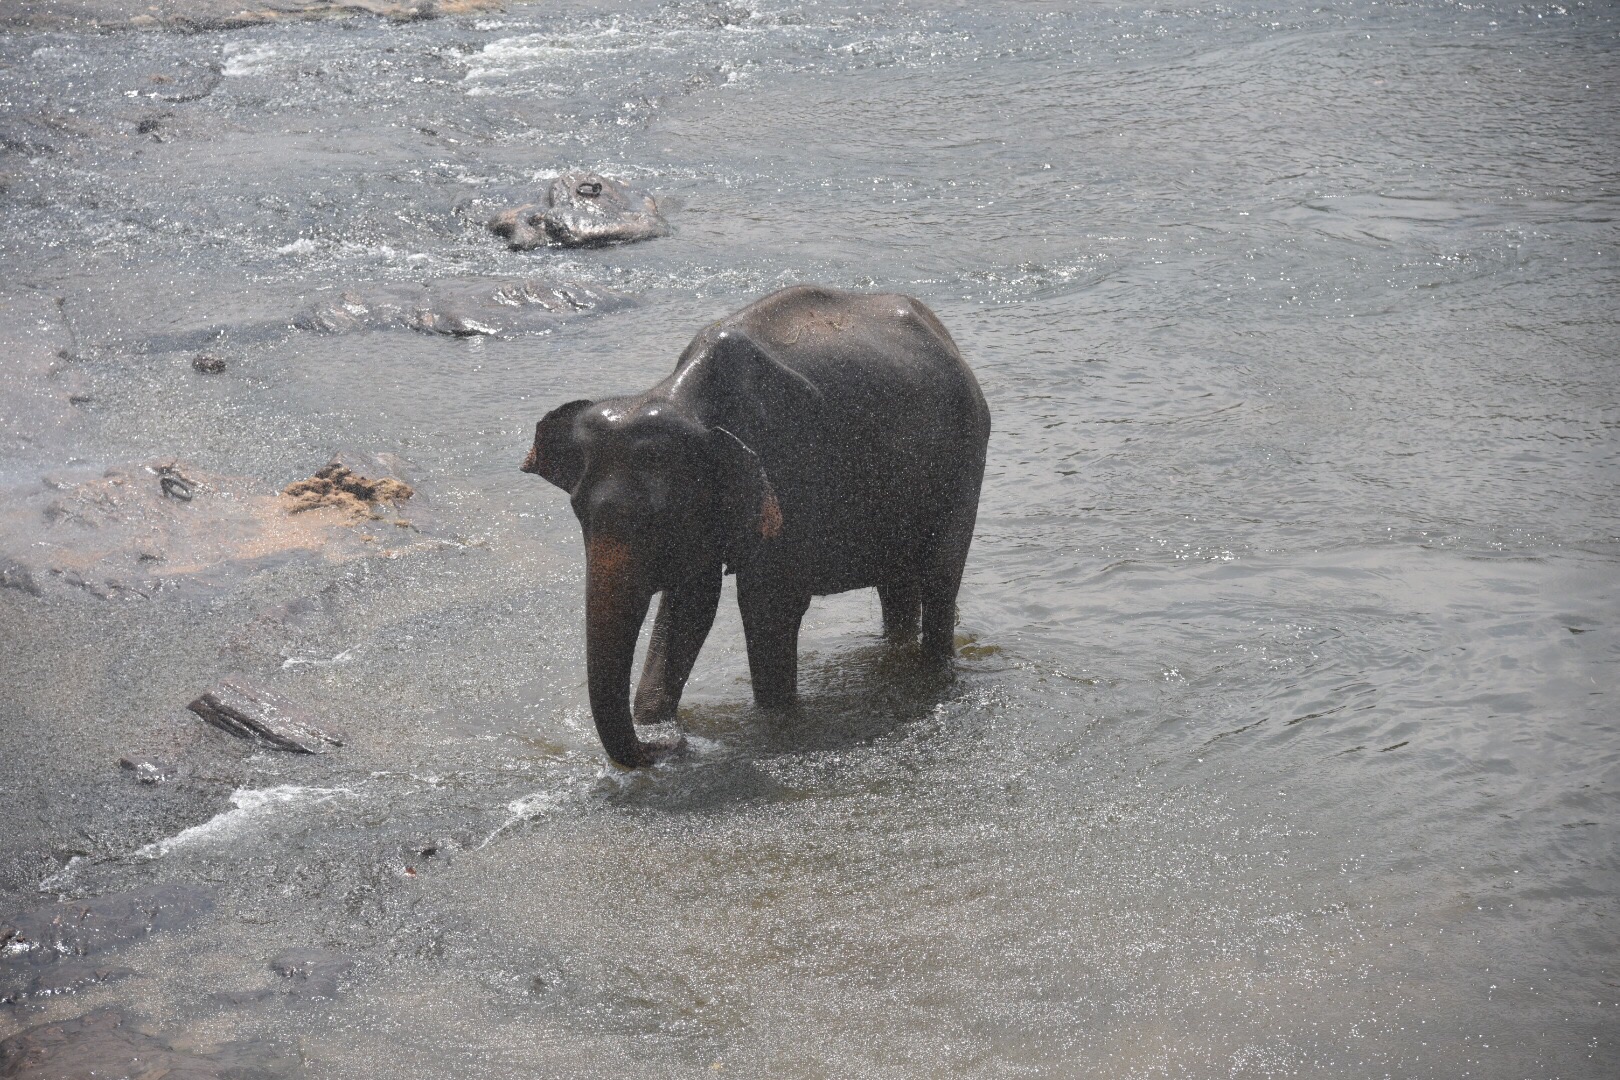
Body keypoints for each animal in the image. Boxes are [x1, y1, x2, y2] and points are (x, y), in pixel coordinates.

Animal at [524, 283, 991, 764]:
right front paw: (657, 722)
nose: (667, 744)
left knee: (940, 578)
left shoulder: (789, 475)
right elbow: (691, 603)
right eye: (578, 512)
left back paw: (932, 672)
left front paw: (773, 720)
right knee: (896, 586)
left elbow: (767, 606)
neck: (682, 397)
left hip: (966, 462)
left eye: (656, 520)